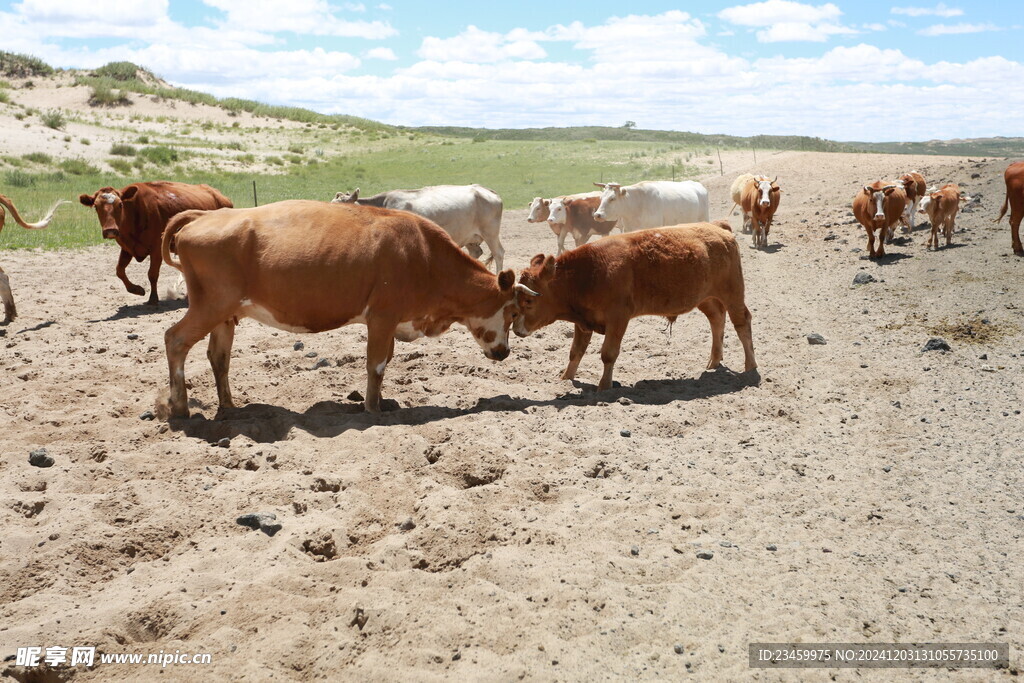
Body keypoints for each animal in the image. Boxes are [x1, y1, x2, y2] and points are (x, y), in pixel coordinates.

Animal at [79, 181, 232, 305]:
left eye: (120, 204)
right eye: (96, 206)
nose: (110, 230)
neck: (135, 211)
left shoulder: (157, 250)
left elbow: (152, 274)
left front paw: (153, 298)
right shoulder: (127, 249)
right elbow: (120, 270)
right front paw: (136, 289)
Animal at [161, 200, 528, 417]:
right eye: (512, 313)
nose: (505, 352)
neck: (424, 256)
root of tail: (207, 216)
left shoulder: (390, 322)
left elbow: (385, 362)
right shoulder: (382, 317)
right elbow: (376, 365)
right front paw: (373, 409)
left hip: (224, 316)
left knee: (218, 357)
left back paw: (228, 405)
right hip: (210, 306)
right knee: (175, 340)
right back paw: (178, 407)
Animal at [512, 224, 753, 393]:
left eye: (529, 301)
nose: (515, 329)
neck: (588, 274)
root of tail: (720, 229)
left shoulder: (618, 318)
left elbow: (608, 354)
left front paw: (604, 387)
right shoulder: (583, 322)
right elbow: (575, 352)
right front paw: (565, 379)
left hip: (733, 293)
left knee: (742, 322)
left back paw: (750, 366)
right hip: (705, 298)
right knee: (716, 318)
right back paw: (714, 361)